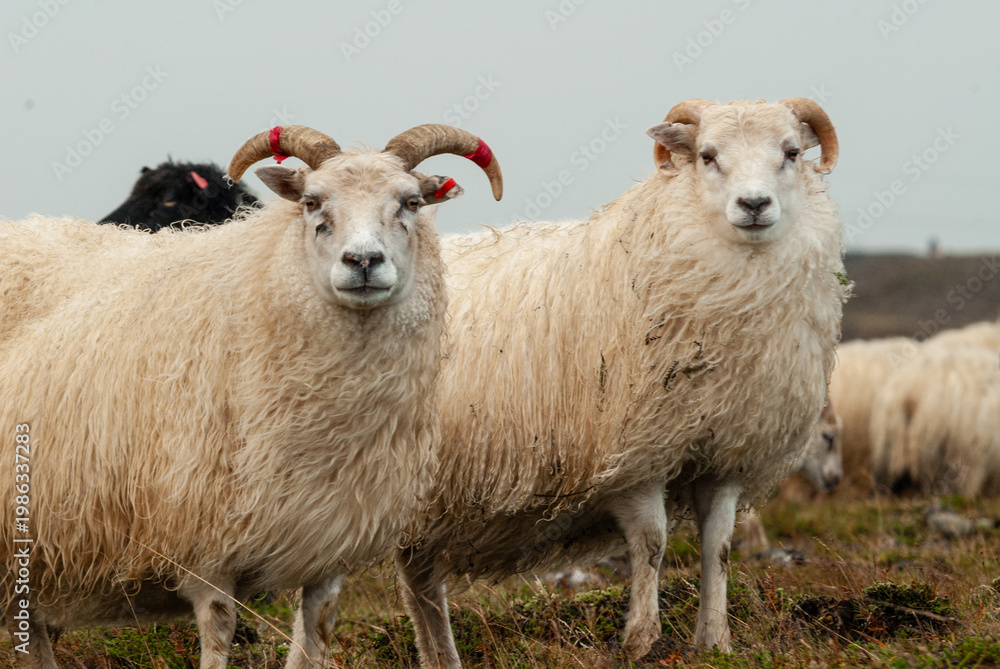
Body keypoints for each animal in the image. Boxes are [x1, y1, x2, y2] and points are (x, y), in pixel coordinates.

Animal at [389, 98, 847, 666]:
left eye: (790, 153)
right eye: (707, 155)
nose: (755, 204)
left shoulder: (724, 457)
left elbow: (718, 547)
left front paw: (715, 640)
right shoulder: (636, 458)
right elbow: (650, 544)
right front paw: (643, 640)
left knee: (421, 584)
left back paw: (441, 657)